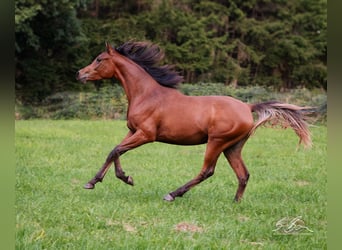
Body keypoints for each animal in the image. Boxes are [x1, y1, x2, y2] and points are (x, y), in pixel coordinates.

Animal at [76, 40, 312, 201]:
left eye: (99, 59)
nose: (79, 74)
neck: (147, 94)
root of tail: (248, 107)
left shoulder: (146, 135)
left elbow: (116, 150)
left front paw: (105, 181)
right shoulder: (133, 131)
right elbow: (115, 151)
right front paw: (115, 179)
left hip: (217, 142)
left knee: (207, 171)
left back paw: (172, 194)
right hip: (233, 147)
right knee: (243, 174)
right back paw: (235, 203)